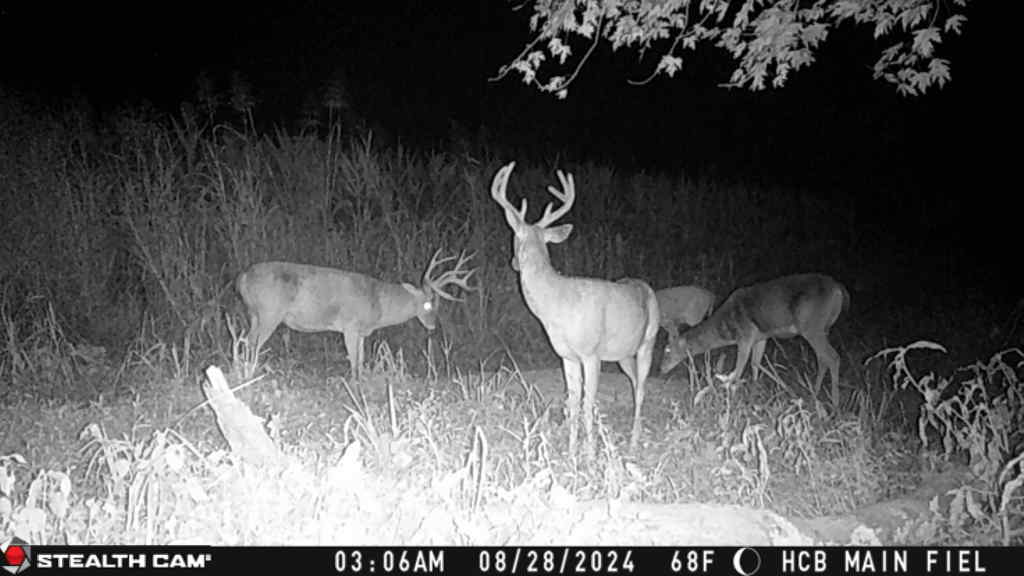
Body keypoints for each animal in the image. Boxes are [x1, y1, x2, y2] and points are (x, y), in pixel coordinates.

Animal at [235, 249, 475, 378]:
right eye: (427, 305)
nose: (433, 325)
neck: (378, 303)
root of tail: (242, 278)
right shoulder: (350, 326)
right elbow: (353, 361)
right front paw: (355, 387)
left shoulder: (360, 332)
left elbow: (360, 360)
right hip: (270, 312)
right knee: (253, 341)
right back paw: (250, 371)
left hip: (255, 314)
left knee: (245, 339)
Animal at [489, 162, 660, 462]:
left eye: (513, 238)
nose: (513, 262)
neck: (557, 305)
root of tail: (645, 286)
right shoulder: (567, 356)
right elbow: (573, 401)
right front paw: (571, 452)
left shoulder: (591, 354)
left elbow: (589, 402)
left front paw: (590, 454)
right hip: (623, 354)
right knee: (633, 382)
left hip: (649, 340)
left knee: (641, 389)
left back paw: (633, 442)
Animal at [660, 273, 849, 403]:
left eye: (667, 351)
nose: (661, 369)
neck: (726, 329)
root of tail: (840, 290)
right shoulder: (760, 337)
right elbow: (755, 363)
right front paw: (755, 392)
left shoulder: (745, 335)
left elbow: (738, 369)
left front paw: (731, 398)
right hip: (824, 328)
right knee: (822, 358)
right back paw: (814, 394)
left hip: (812, 325)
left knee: (833, 357)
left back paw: (834, 403)